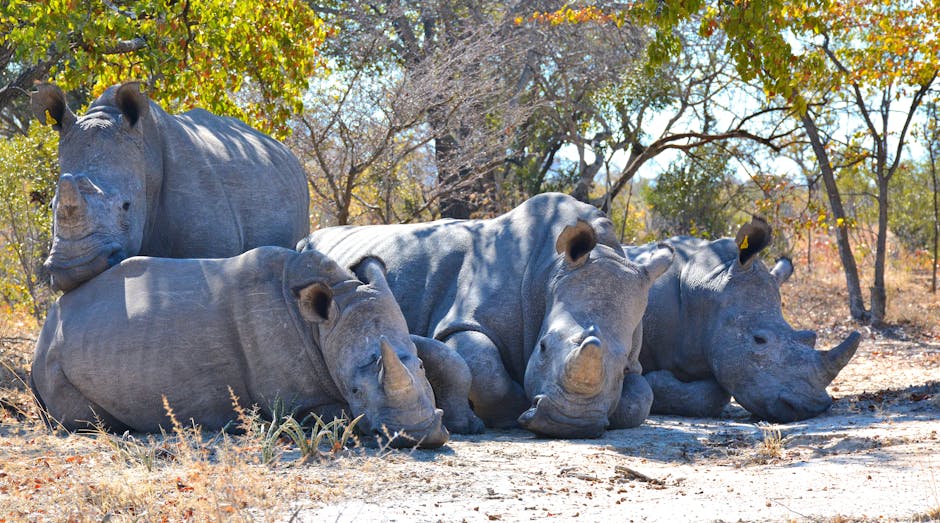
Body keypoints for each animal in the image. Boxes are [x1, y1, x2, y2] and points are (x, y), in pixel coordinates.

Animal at [30, 247, 450, 448]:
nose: (419, 435)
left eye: (421, 369)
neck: (321, 326)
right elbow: (337, 415)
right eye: (356, 390)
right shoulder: (297, 402)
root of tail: (47, 325)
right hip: (53, 360)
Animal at [300, 193, 674, 438]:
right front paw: (508, 414)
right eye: (543, 347)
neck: (552, 271)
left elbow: (641, 399)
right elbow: (484, 368)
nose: (570, 424)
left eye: (622, 365)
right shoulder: (463, 319)